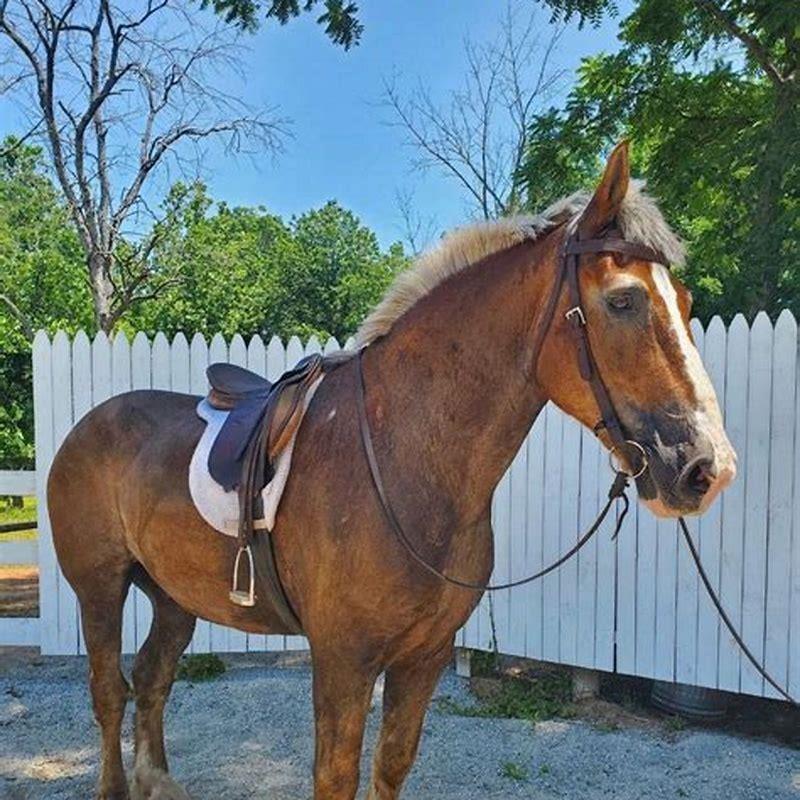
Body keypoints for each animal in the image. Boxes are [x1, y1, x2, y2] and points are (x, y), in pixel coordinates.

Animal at [48, 142, 736, 800]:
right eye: (624, 300)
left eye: (685, 302)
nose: (708, 468)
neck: (403, 455)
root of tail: (85, 426)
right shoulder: (344, 660)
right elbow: (335, 776)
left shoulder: (424, 659)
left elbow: (392, 765)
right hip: (100, 588)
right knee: (108, 689)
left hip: (172, 596)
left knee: (151, 678)